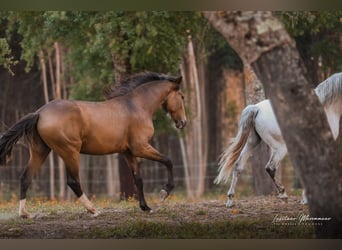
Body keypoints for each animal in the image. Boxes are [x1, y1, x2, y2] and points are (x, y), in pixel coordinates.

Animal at [0, 71, 187, 218]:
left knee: (25, 178)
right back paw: (93, 210)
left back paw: (24, 214)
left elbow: (138, 179)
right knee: (73, 181)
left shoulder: (128, 152)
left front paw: (145, 207)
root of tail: (39, 113)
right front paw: (164, 193)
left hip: (40, 151)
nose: (182, 123)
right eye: (182, 96)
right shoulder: (140, 148)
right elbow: (168, 161)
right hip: (70, 152)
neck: (137, 106)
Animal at [216, 72, 342, 207]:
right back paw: (283, 194)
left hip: (253, 142)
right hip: (280, 148)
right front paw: (307, 199)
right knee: (270, 168)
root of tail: (256, 108)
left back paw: (230, 200)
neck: (324, 107)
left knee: (238, 166)